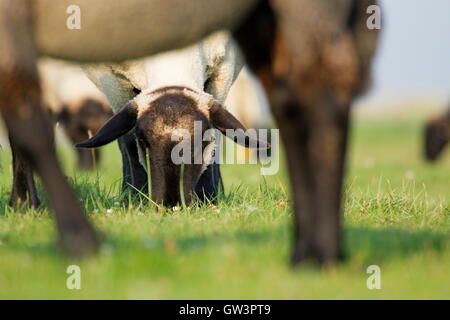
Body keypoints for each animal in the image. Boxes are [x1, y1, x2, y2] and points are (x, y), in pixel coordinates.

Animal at [0, 0, 380, 264]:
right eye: (145, 141)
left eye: (205, 140)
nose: (170, 204)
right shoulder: (109, 77)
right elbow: (123, 139)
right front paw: (134, 194)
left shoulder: (226, 63)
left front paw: (210, 193)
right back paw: (24, 203)